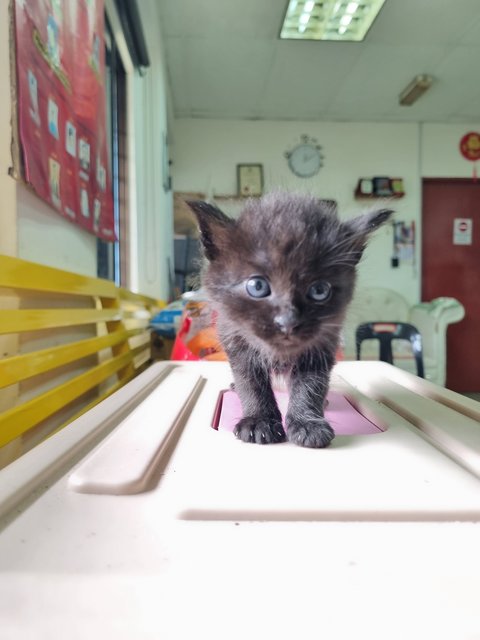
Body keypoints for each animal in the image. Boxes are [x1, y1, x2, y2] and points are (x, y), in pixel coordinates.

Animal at [187, 192, 390, 448]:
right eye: (257, 286)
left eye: (319, 290)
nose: (288, 322)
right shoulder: (237, 342)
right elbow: (251, 384)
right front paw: (259, 421)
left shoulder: (321, 347)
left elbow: (310, 387)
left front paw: (307, 423)